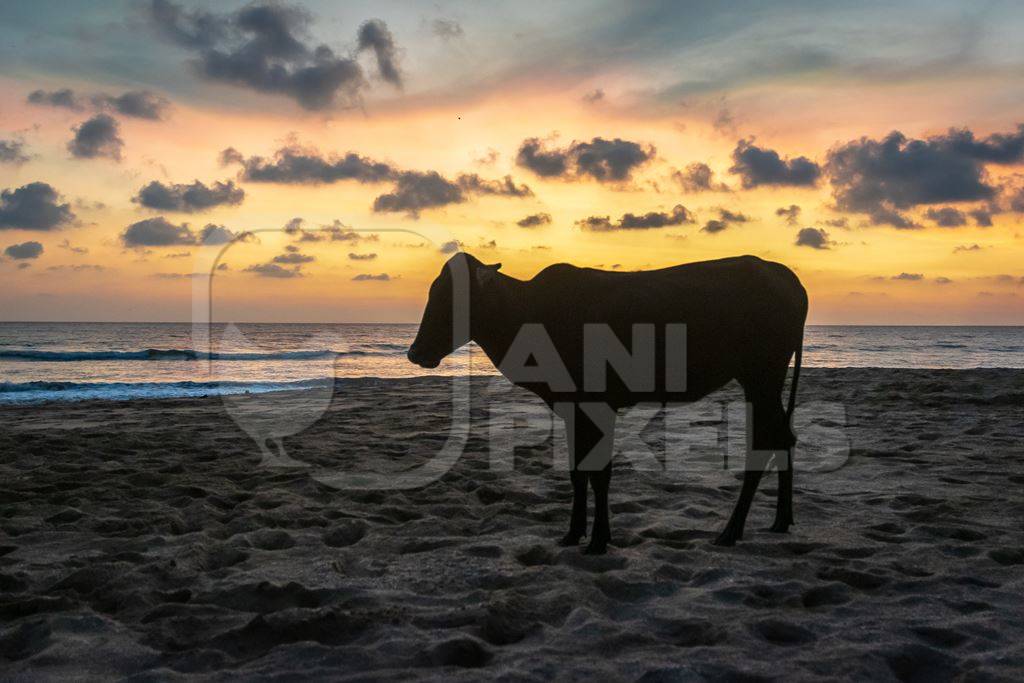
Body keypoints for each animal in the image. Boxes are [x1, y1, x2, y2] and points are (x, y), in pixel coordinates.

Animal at [407, 250, 806, 557]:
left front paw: (598, 540)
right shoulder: (572, 409)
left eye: (454, 299)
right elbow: (577, 471)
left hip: (761, 376)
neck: (528, 315)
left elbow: (599, 472)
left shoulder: (598, 404)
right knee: (783, 438)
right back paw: (780, 520)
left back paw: (731, 531)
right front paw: (573, 533)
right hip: (762, 382)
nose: (415, 352)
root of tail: (786, 277)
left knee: (764, 443)